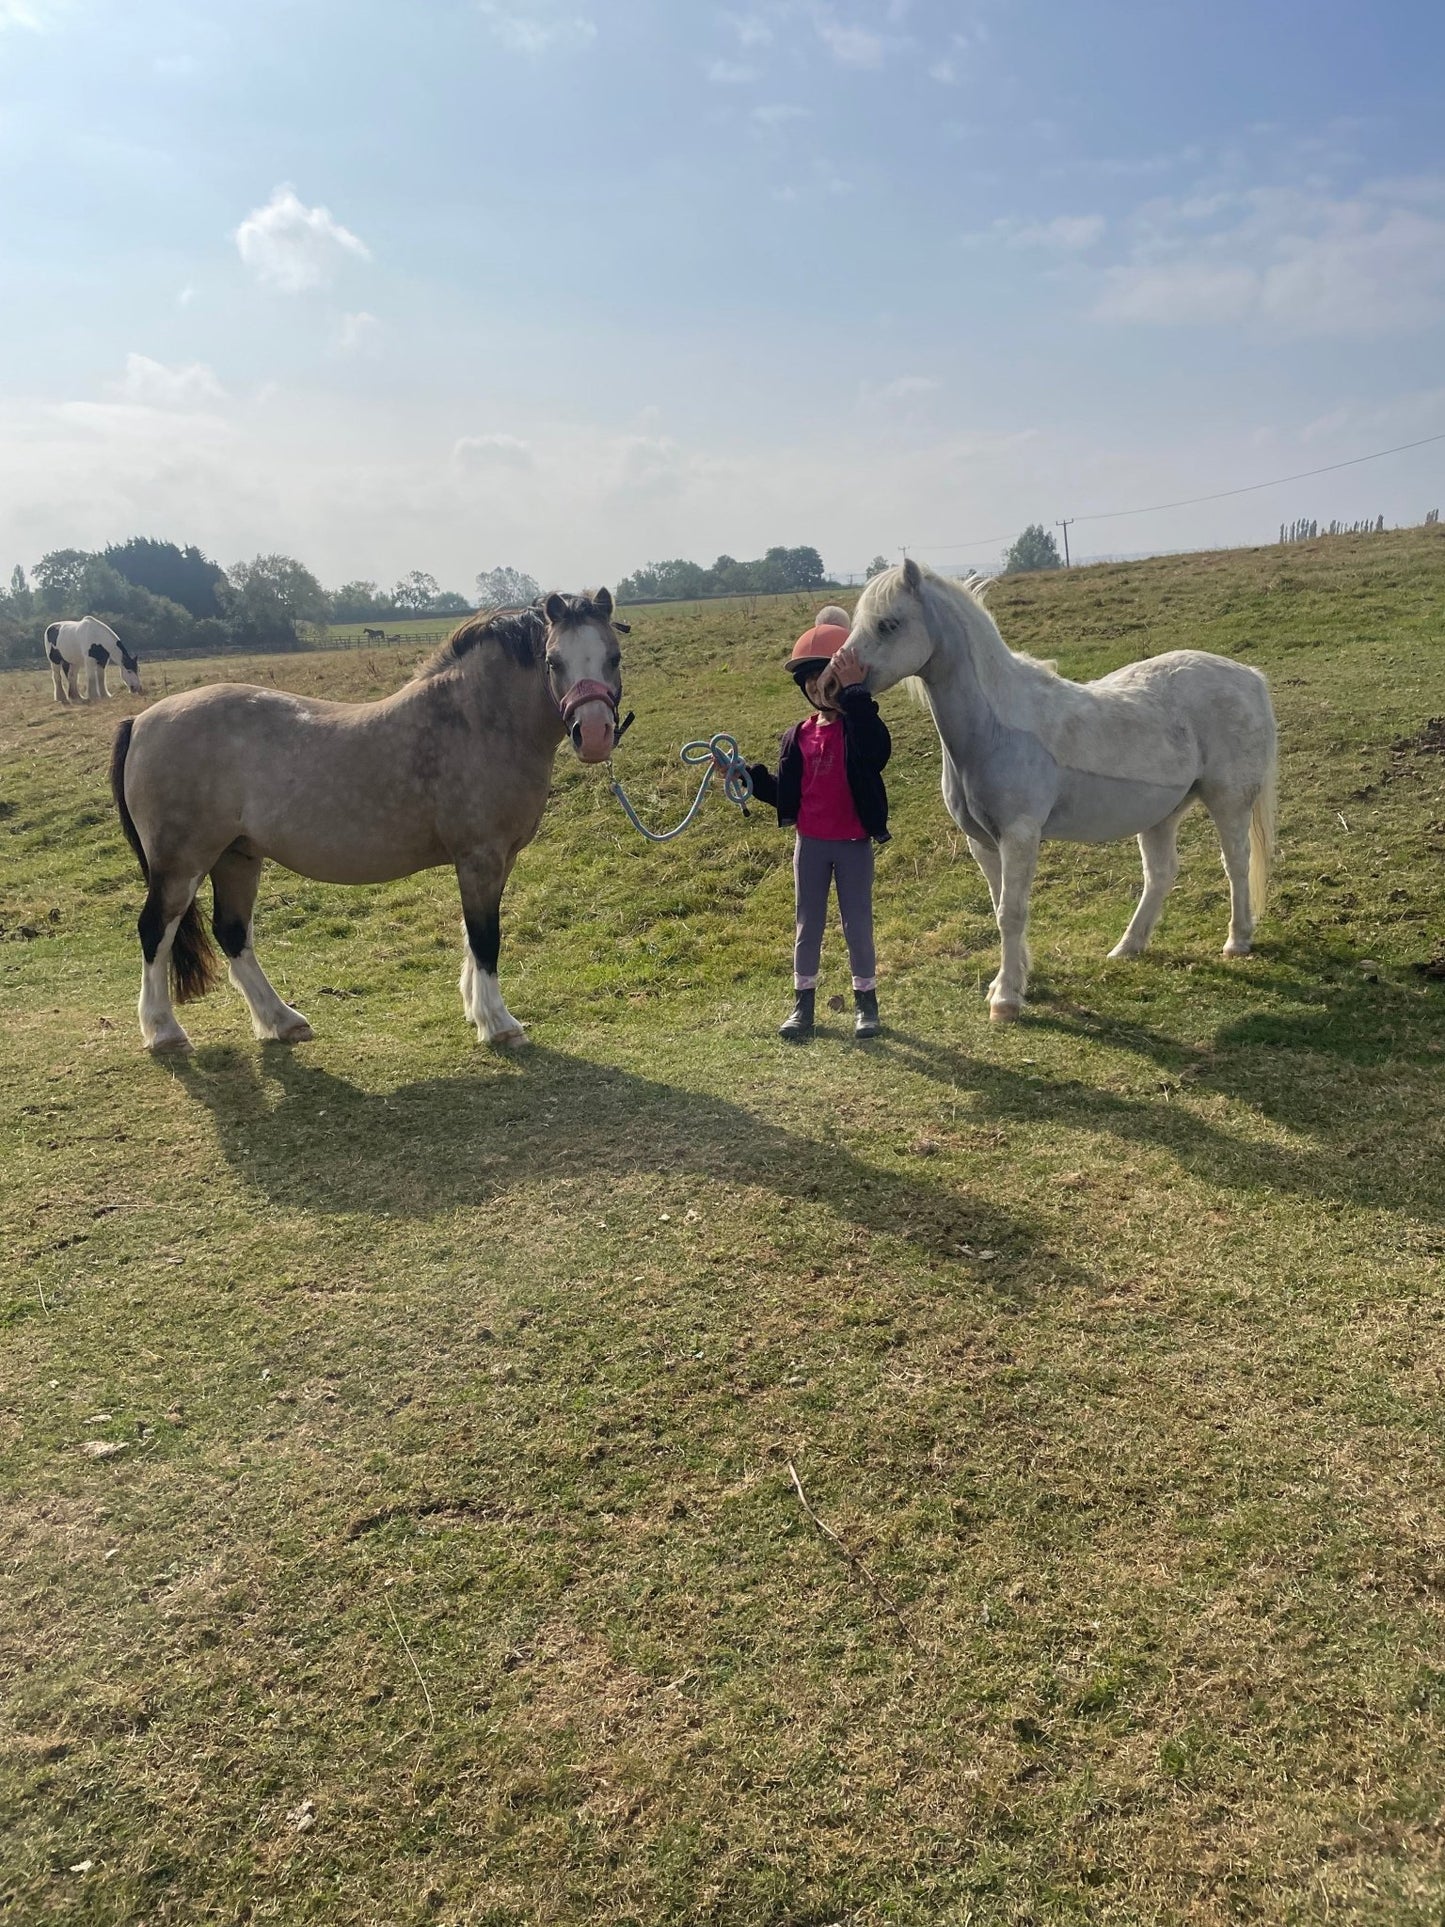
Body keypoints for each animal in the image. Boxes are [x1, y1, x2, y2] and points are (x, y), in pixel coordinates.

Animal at [111, 593, 624, 1055]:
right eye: (553, 661)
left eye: (614, 657)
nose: (594, 734)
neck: (476, 720)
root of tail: (140, 721)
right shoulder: (480, 857)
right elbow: (485, 937)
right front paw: (498, 1023)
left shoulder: (496, 860)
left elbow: (472, 933)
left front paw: (475, 1010)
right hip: (182, 863)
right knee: (155, 930)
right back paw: (164, 1032)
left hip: (236, 856)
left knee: (233, 934)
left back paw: (281, 1021)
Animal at [843, 562, 1287, 1025]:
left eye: (888, 623)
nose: (834, 682)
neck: (996, 727)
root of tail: (1248, 676)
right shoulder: (983, 842)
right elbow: (1002, 907)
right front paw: (1014, 980)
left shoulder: (1020, 836)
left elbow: (1011, 912)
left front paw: (1006, 1000)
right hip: (1161, 816)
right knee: (1160, 875)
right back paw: (1127, 948)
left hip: (1229, 801)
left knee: (1236, 864)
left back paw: (1237, 941)